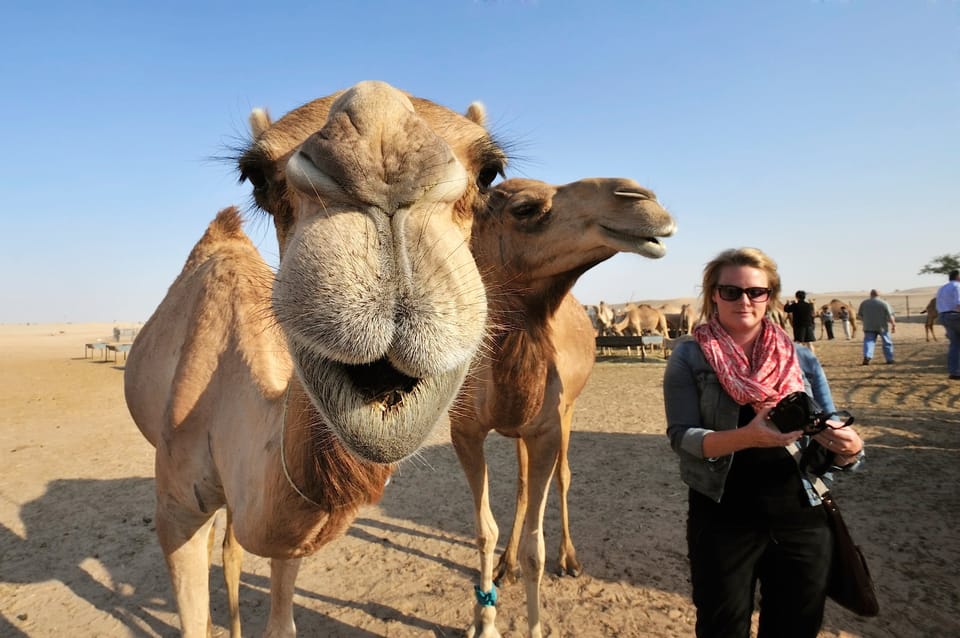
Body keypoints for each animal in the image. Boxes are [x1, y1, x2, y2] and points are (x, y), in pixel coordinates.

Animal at [125, 82, 510, 636]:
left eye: (490, 172)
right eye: (254, 174)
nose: (382, 154)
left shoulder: (289, 536)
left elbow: (280, 619)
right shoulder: (174, 509)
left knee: (233, 545)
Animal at [454, 176, 680, 638]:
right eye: (525, 208)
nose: (643, 199)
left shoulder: (546, 430)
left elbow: (535, 549)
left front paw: (533, 624)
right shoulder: (464, 430)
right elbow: (485, 531)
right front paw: (483, 622)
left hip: (568, 411)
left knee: (563, 478)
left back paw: (569, 559)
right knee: (523, 487)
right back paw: (505, 567)